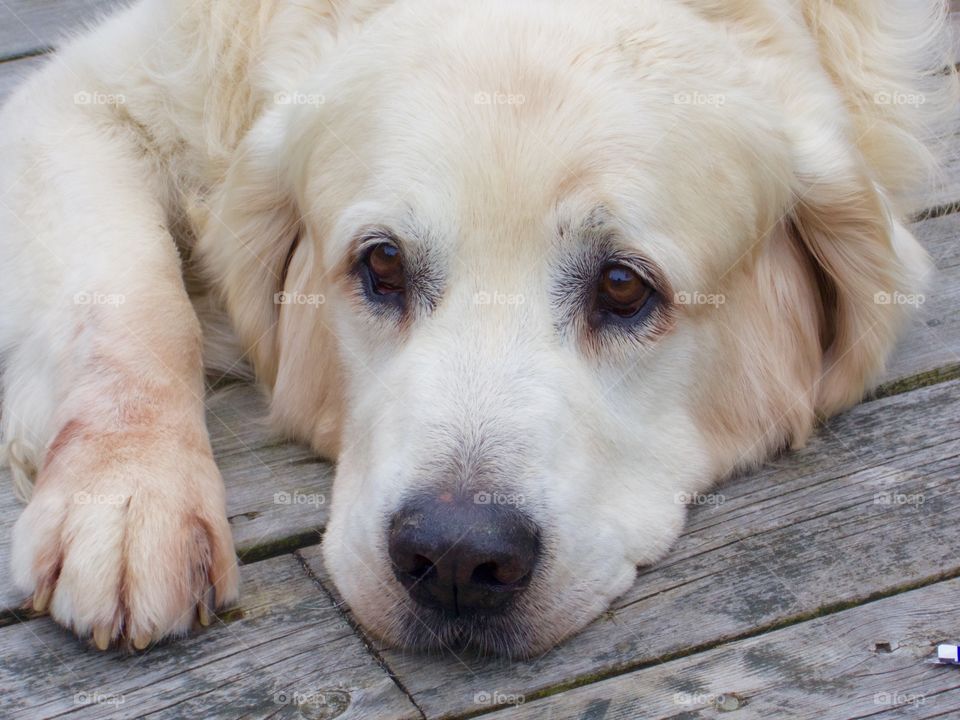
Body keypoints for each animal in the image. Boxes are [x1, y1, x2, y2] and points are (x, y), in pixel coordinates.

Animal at [0, 0, 952, 660]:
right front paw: (128, 496)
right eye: (382, 265)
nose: (457, 558)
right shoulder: (91, 94)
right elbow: (127, 291)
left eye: (622, 286)